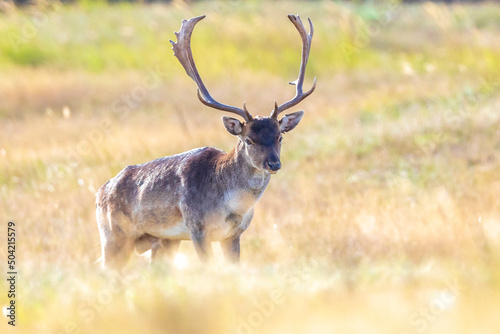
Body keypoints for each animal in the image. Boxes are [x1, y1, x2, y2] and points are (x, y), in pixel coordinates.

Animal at [95, 14, 314, 268]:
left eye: (280, 136)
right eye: (249, 140)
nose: (274, 163)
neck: (233, 207)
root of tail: (100, 192)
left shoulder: (234, 233)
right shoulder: (197, 227)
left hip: (163, 241)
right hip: (113, 235)